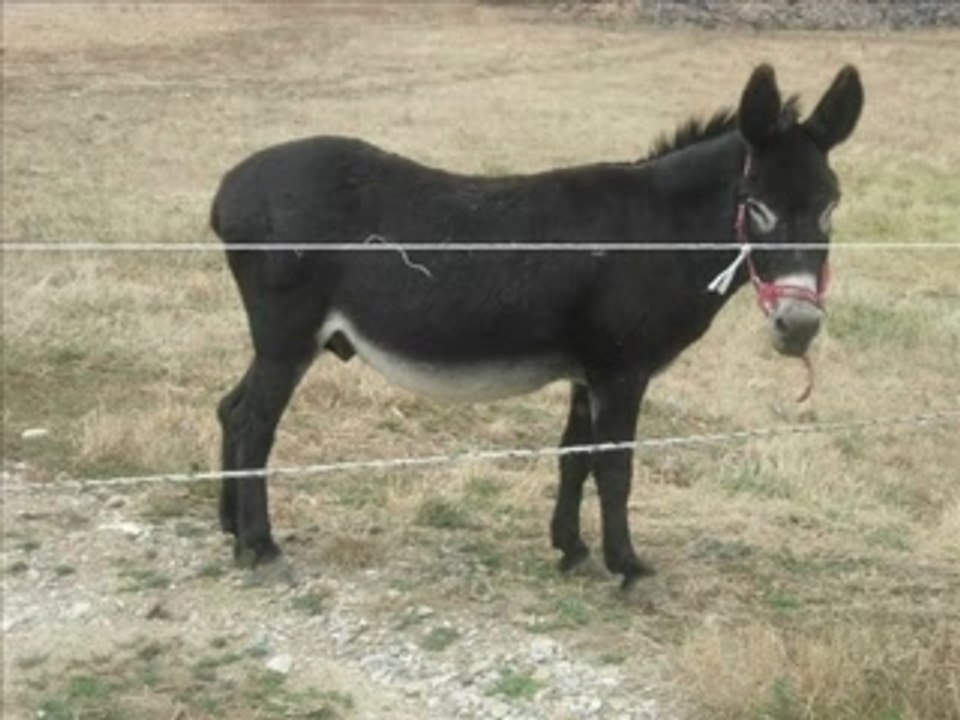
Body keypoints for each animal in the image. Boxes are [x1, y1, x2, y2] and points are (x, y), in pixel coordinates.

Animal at [211, 64, 863, 588]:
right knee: (253, 421)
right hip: (288, 335)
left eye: (831, 206)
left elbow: (574, 455)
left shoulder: (587, 369)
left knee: (230, 406)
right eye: (758, 207)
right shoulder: (622, 370)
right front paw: (628, 566)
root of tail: (230, 186)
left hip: (282, 340)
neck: (658, 233)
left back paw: (230, 528)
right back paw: (263, 549)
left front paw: (571, 550)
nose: (799, 325)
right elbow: (615, 466)